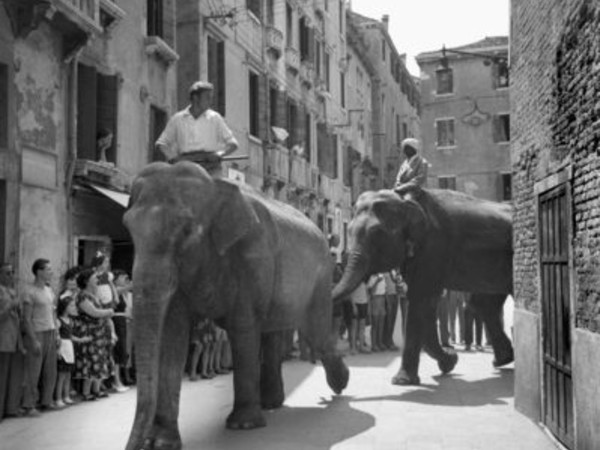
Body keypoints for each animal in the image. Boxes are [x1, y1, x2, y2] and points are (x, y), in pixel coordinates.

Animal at [123, 163, 346, 450]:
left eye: (186, 231)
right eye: (128, 228)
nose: (136, 445)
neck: (215, 186)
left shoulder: (253, 256)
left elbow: (243, 328)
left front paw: (243, 426)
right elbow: (173, 334)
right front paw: (161, 442)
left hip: (320, 279)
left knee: (315, 332)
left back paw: (338, 385)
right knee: (276, 334)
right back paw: (272, 403)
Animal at [330, 185, 512, 384]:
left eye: (377, 233)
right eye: (349, 231)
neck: (405, 200)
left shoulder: (433, 247)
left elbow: (420, 302)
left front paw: (402, 381)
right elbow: (424, 306)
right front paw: (449, 362)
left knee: (484, 303)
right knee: (484, 304)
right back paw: (503, 360)